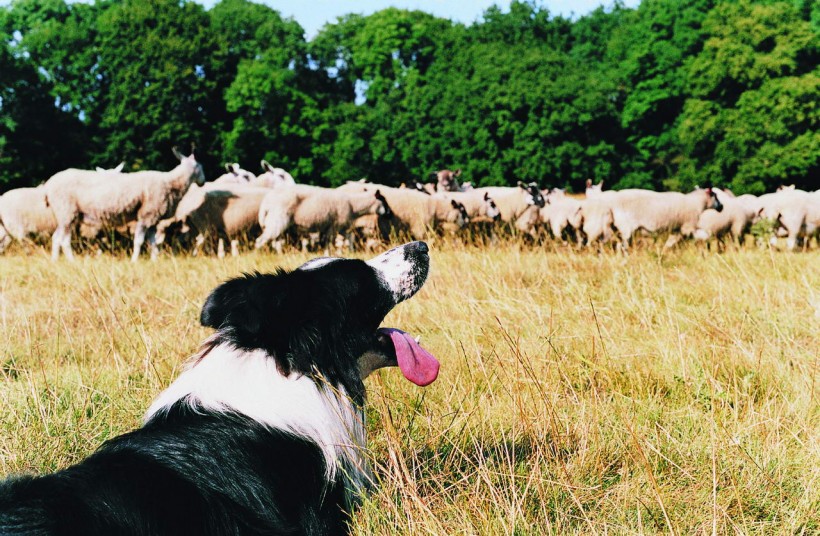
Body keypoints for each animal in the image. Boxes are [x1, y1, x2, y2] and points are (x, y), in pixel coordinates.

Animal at [44, 149, 205, 262]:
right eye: (199, 166)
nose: (203, 182)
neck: (171, 183)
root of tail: (48, 185)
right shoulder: (146, 215)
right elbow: (139, 241)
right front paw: (134, 261)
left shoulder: (152, 219)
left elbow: (153, 242)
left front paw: (154, 260)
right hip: (66, 210)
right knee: (64, 240)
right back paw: (71, 260)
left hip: (65, 214)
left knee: (56, 237)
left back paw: (54, 260)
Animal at [256, 185, 394, 252]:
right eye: (383, 199)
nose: (391, 214)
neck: (353, 205)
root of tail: (265, 204)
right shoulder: (334, 226)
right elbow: (329, 244)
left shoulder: (340, 227)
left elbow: (349, 237)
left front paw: (351, 251)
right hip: (277, 221)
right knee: (260, 241)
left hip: (276, 224)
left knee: (276, 243)